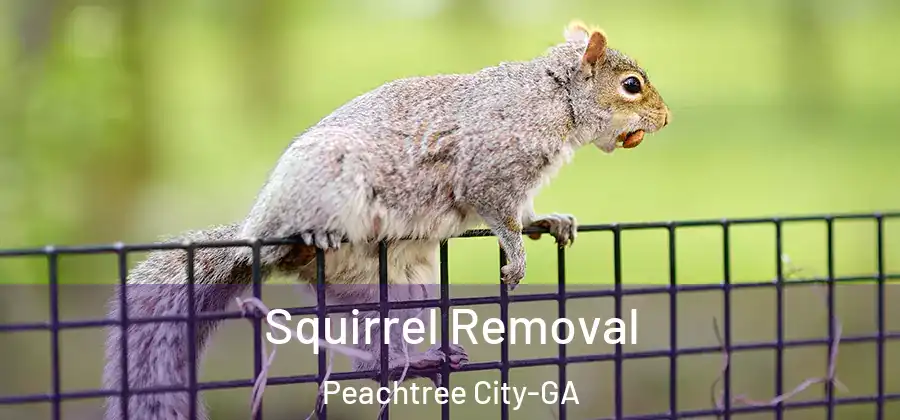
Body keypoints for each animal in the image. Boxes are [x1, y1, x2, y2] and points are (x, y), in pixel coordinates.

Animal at [101, 20, 670, 420]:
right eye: (631, 85)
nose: (665, 120)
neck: (554, 98)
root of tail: (252, 235)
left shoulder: (519, 184)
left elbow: (525, 212)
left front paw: (550, 222)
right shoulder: (489, 168)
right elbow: (498, 214)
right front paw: (516, 257)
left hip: (399, 290)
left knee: (374, 359)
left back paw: (416, 360)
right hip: (326, 187)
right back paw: (307, 240)